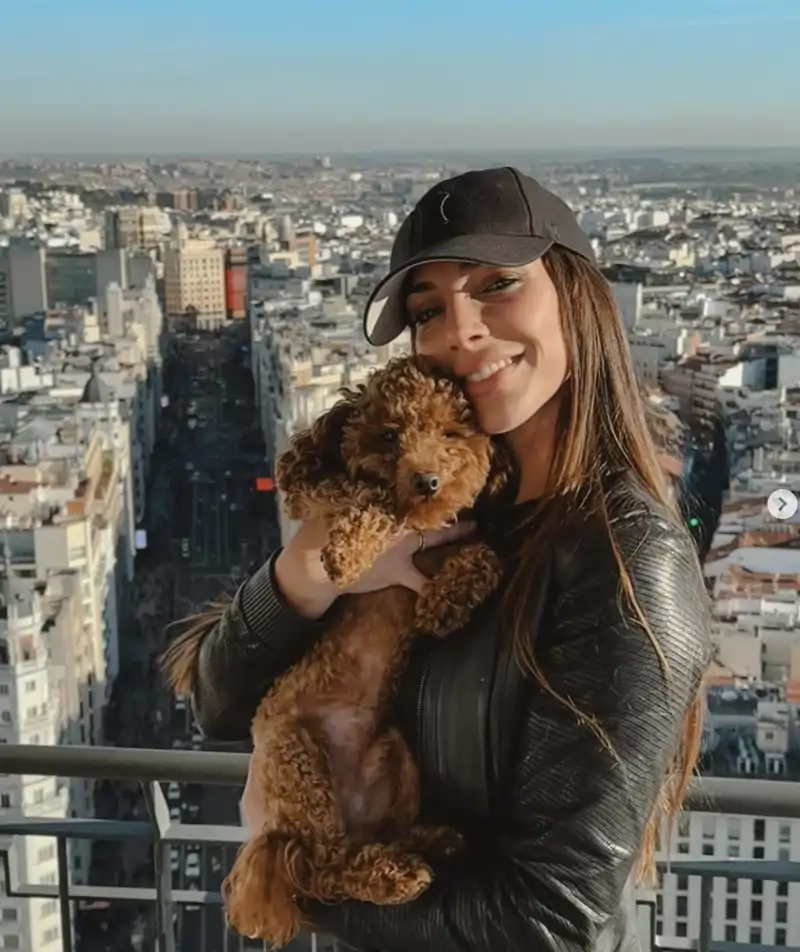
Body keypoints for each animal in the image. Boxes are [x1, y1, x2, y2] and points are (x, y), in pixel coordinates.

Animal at [162, 356, 506, 944]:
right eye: (389, 435)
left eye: (450, 433)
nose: (427, 481)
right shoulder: (315, 491)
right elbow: (369, 499)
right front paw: (348, 553)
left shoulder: (463, 535)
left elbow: (485, 556)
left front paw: (444, 603)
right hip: (297, 762)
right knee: (321, 868)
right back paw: (393, 876)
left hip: (398, 758)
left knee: (364, 843)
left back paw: (426, 842)